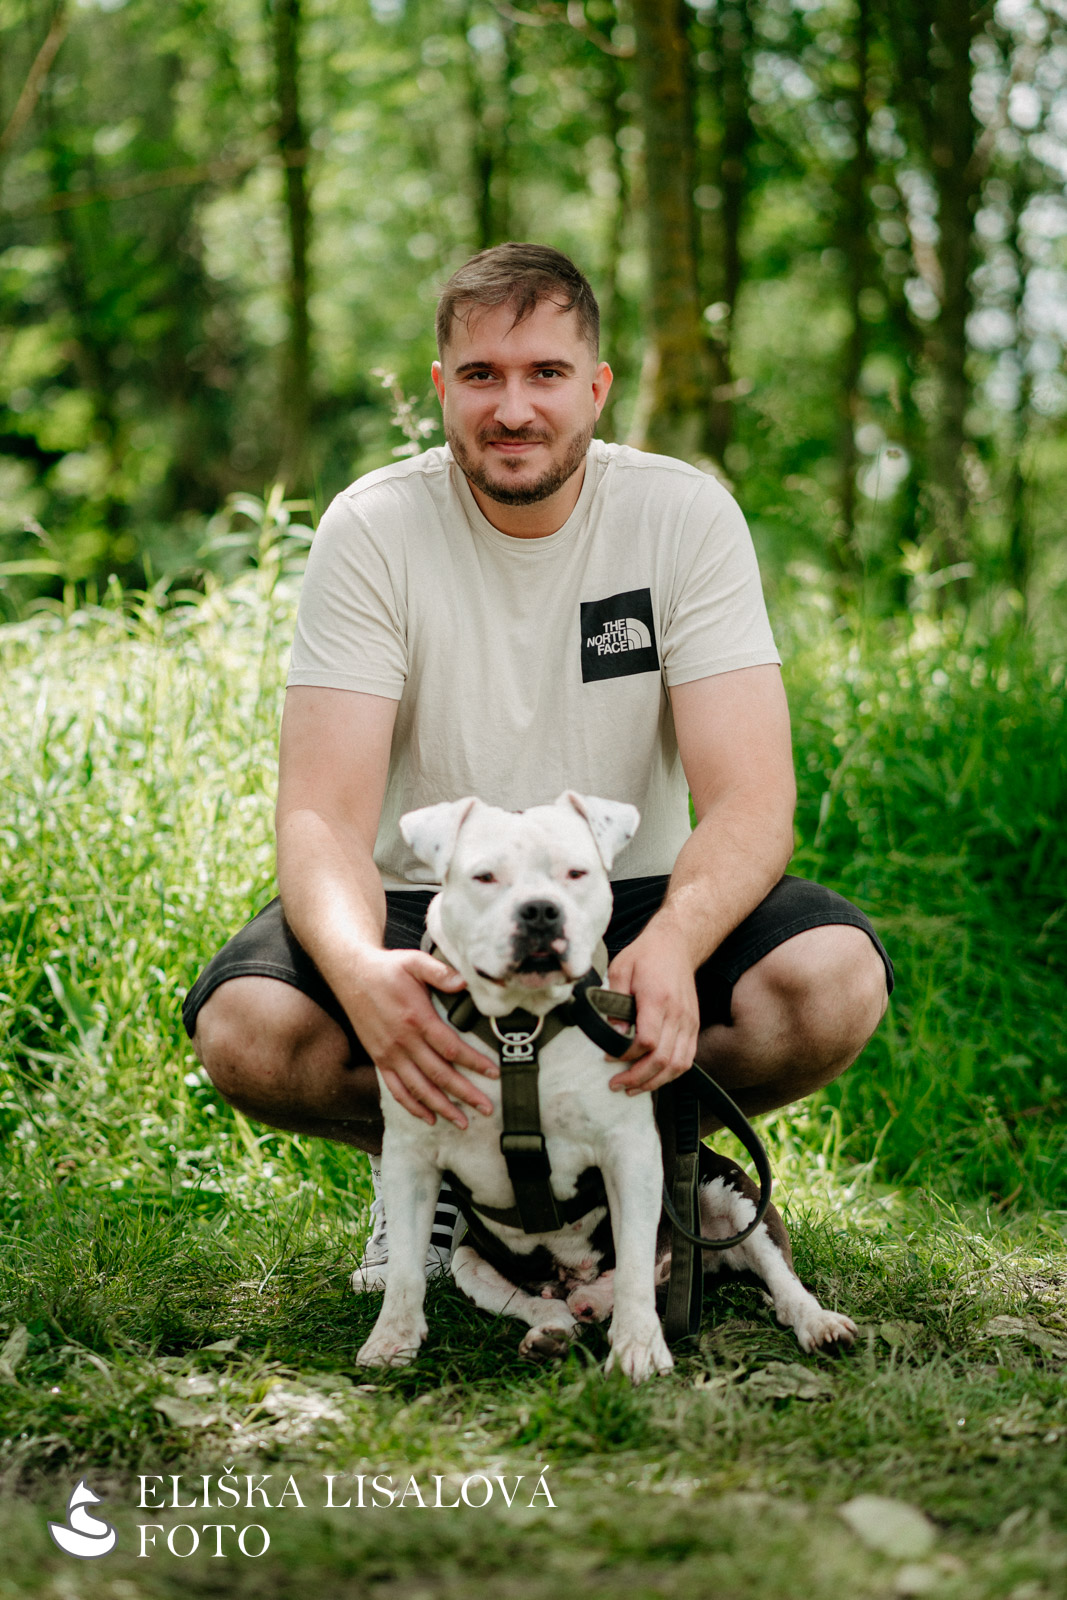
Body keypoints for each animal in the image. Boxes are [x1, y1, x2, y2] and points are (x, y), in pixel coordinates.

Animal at [355, 791, 855, 1381]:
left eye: (576, 872)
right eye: (484, 877)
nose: (540, 910)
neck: (519, 1030)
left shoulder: (629, 1154)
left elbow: (636, 1267)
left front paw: (639, 1351)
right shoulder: (410, 1156)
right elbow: (407, 1271)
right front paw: (391, 1340)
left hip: (734, 1200)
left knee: (774, 1280)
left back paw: (816, 1322)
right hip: (469, 1258)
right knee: (540, 1303)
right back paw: (552, 1332)